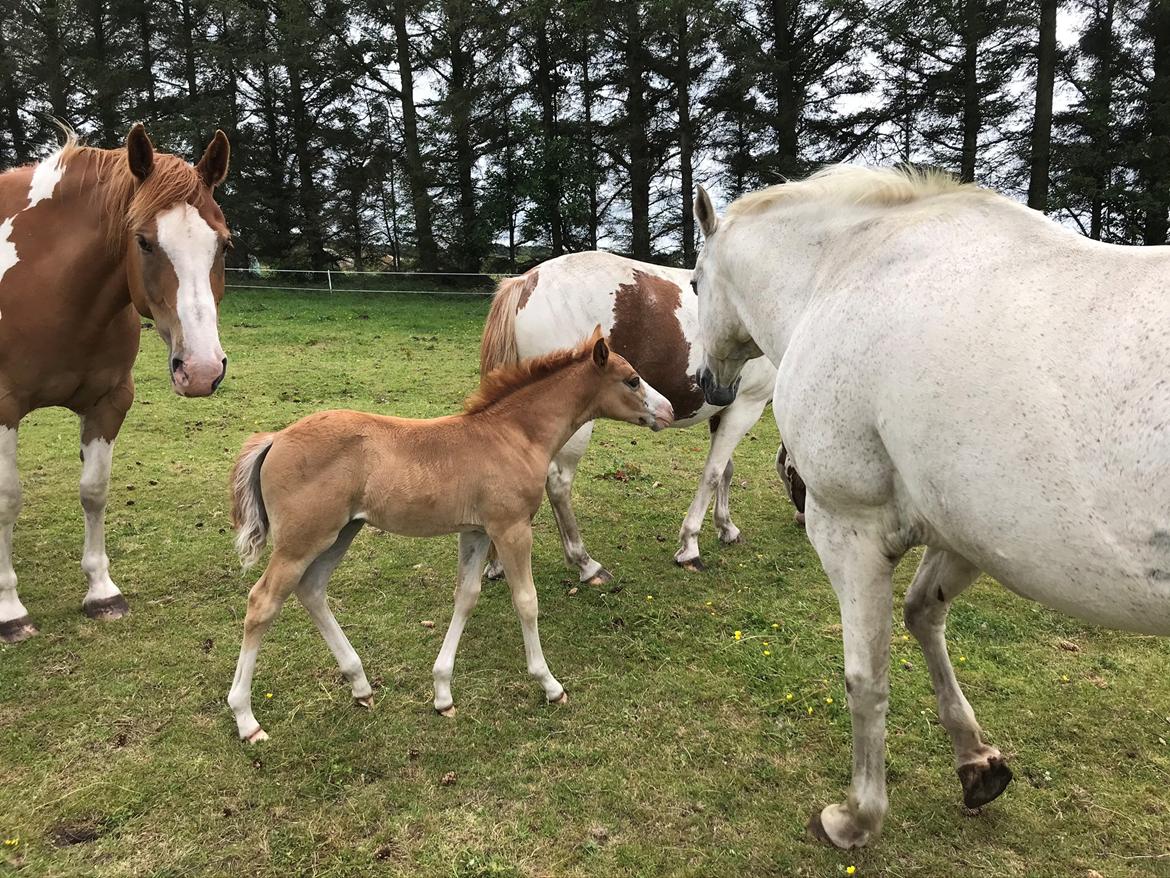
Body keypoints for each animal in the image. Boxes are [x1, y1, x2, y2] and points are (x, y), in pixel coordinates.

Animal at [0, 124, 232, 641]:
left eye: (224, 244)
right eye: (143, 241)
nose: (201, 370)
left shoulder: (109, 402)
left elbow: (94, 490)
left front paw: (102, 593)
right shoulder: (2, 408)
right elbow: (6, 499)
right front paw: (9, 610)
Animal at [225, 330, 678, 744]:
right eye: (632, 380)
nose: (670, 411)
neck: (513, 435)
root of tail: (274, 439)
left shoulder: (476, 531)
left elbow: (466, 596)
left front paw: (443, 693)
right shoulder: (511, 528)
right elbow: (526, 601)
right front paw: (549, 684)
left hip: (340, 533)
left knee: (312, 590)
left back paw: (361, 685)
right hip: (302, 541)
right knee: (263, 602)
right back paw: (246, 719)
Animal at [687, 166, 1170, 852]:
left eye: (696, 283)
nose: (706, 381)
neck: (840, 270)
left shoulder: (851, 530)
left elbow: (866, 678)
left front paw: (857, 816)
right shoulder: (966, 533)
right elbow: (923, 614)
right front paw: (977, 762)